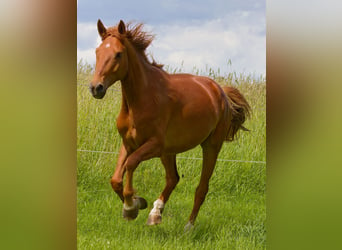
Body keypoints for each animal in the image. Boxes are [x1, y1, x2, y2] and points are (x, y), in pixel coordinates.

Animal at [88, 19, 250, 230]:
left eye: (118, 54)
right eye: (97, 52)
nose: (96, 88)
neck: (142, 99)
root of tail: (220, 91)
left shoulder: (154, 145)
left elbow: (131, 164)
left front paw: (131, 206)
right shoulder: (129, 143)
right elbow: (115, 180)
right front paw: (137, 204)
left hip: (211, 146)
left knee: (201, 188)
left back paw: (188, 227)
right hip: (170, 151)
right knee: (173, 178)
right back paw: (155, 214)